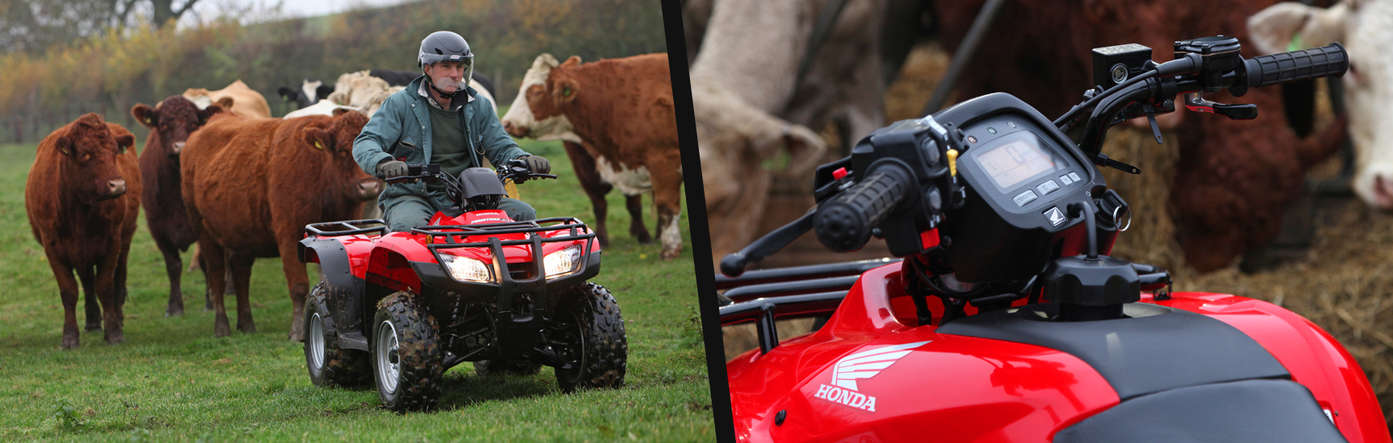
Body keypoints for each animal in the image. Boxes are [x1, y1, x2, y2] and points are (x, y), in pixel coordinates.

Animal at [25, 112, 142, 348]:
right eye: (86, 154)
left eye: (115, 152)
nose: (117, 185)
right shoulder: (53, 248)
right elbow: (69, 290)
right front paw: (70, 336)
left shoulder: (112, 243)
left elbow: (105, 286)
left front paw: (114, 332)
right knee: (87, 282)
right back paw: (92, 321)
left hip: (124, 240)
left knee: (118, 279)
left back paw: (117, 317)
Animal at [129, 98, 224, 316]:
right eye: (163, 124)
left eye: (194, 123)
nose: (180, 147)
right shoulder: (157, 227)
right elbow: (173, 265)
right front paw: (174, 307)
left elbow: (205, 262)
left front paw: (210, 302)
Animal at [183, 110, 387, 338]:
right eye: (343, 150)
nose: (368, 186)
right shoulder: (289, 235)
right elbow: (298, 286)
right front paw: (297, 331)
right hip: (205, 234)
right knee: (217, 275)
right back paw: (221, 326)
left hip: (242, 236)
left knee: (241, 275)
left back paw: (247, 323)